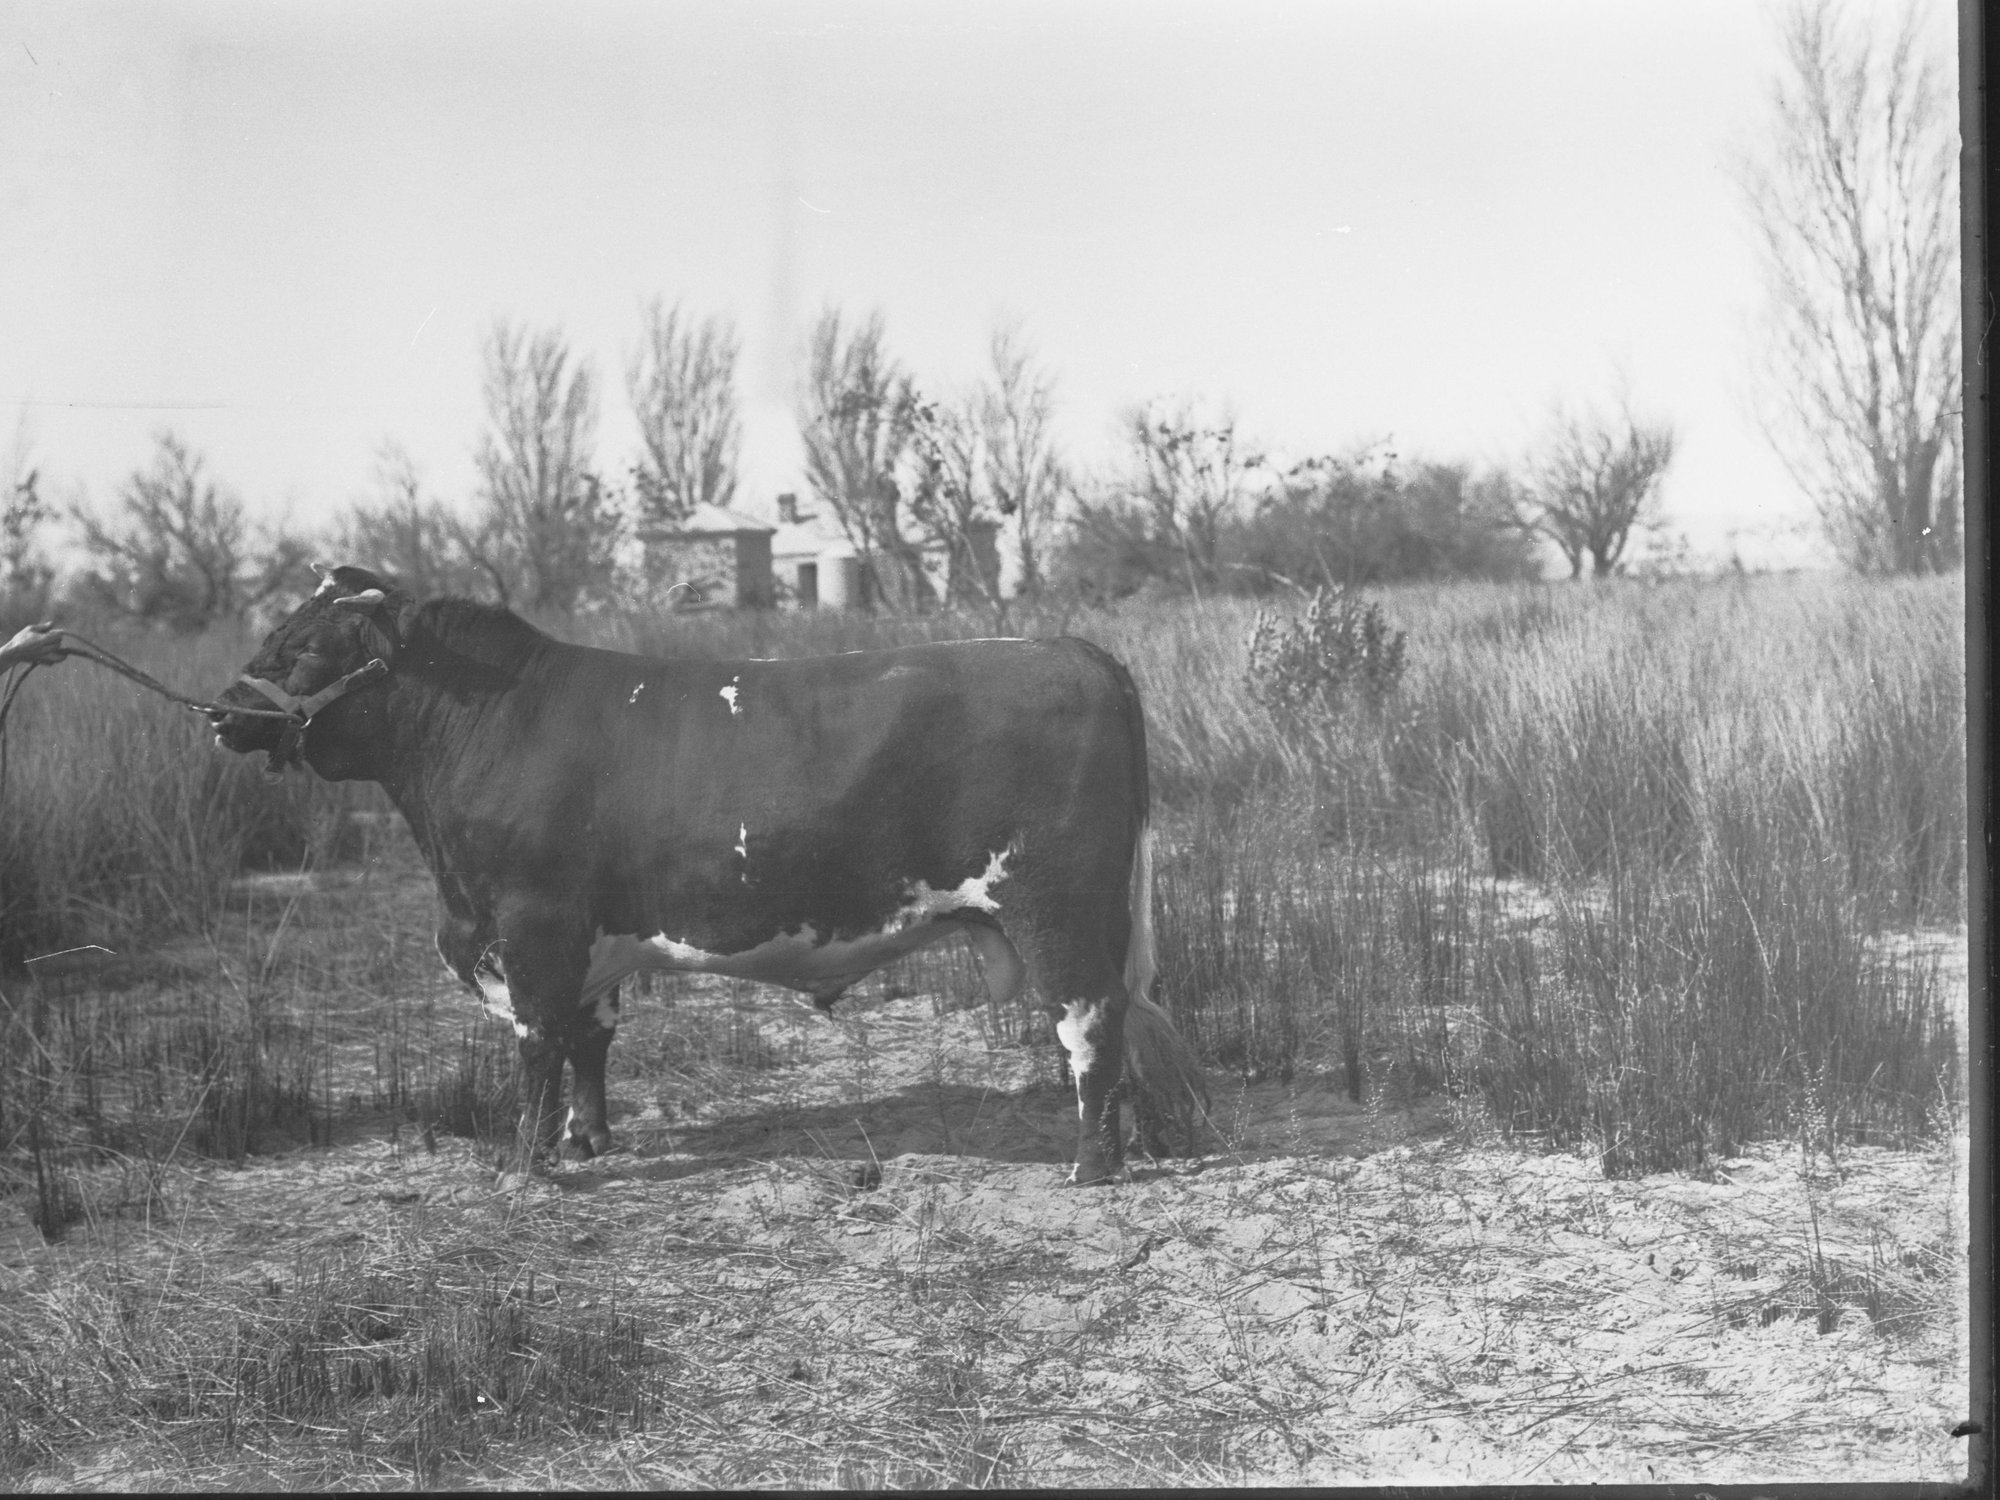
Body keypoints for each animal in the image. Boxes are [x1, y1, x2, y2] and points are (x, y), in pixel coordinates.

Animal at [209, 565, 1207, 1185]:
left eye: (306, 648)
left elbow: (537, 1047)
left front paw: (523, 1165)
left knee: (1089, 1025)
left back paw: (1088, 1165)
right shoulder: (588, 941)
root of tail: (1073, 649)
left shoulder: (532, 926)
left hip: (1056, 910)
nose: (222, 712)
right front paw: (587, 1138)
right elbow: (591, 1039)